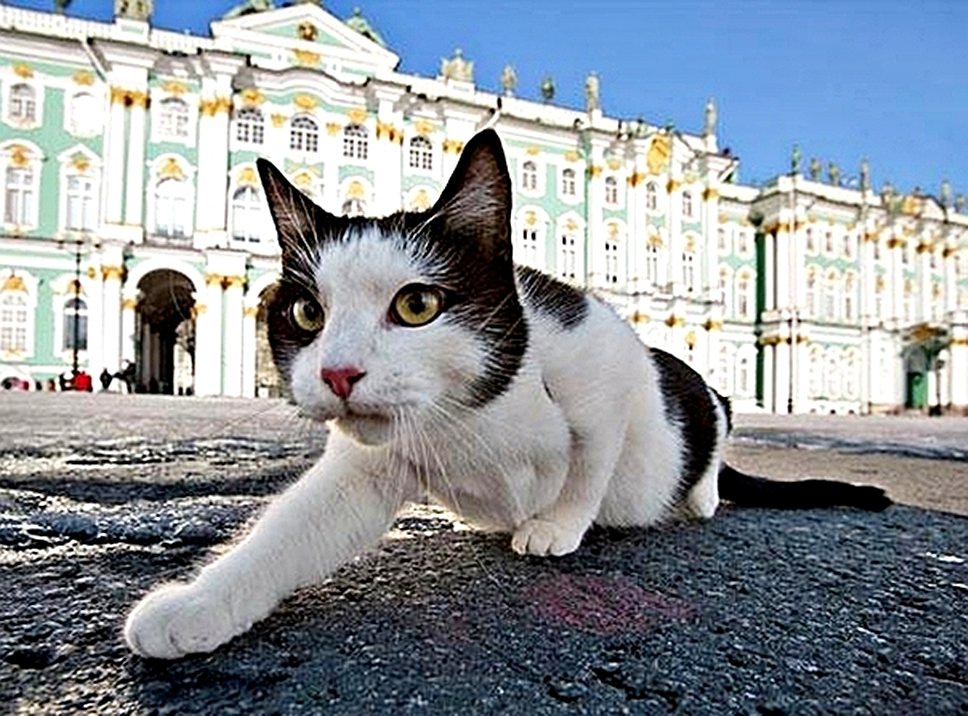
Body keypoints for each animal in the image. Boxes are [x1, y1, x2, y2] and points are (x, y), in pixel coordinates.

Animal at [123, 130, 892, 660]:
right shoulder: (367, 469)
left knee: (717, 415)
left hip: (685, 383)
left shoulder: (606, 358)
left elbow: (591, 460)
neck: (469, 414)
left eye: (417, 305)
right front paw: (198, 603)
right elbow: (288, 530)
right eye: (308, 314)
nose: (339, 373)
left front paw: (557, 525)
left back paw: (699, 494)